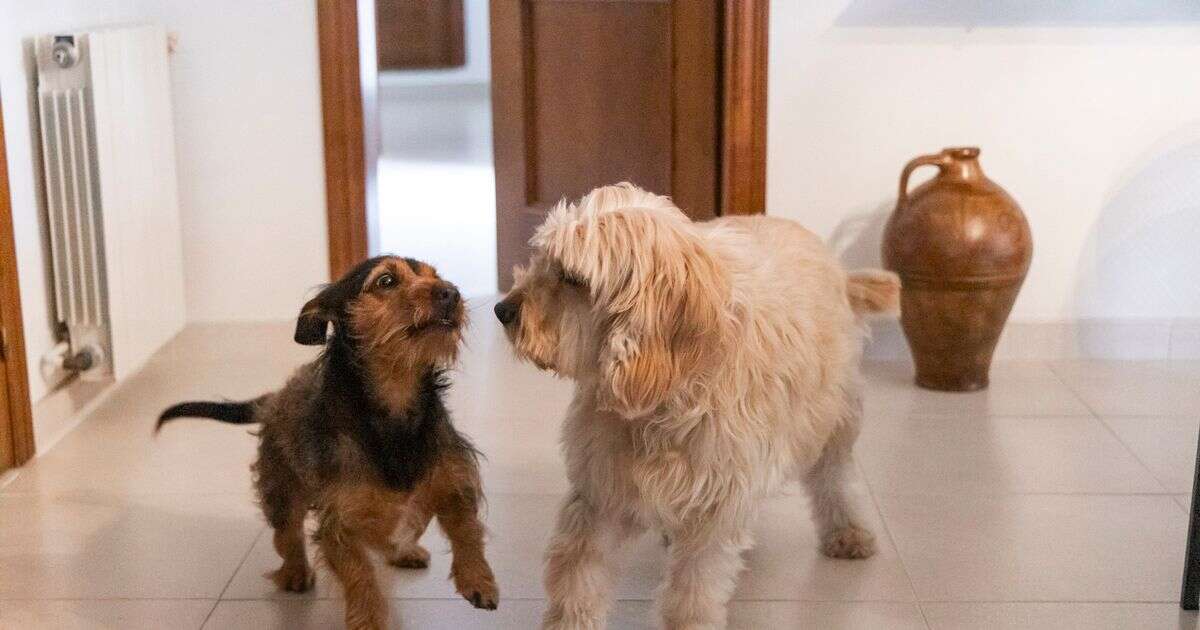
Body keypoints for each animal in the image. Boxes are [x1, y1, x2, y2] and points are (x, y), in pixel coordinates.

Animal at [158, 255, 496, 628]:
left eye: (435, 276)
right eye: (386, 281)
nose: (451, 292)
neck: (394, 405)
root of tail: (275, 398)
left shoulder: (453, 478)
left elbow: (466, 527)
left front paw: (477, 579)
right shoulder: (340, 518)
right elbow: (359, 572)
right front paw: (368, 619)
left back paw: (404, 550)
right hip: (281, 487)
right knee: (286, 533)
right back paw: (294, 571)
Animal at [492, 182, 897, 628]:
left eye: (572, 277)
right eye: (543, 259)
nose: (502, 309)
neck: (664, 395)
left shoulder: (716, 505)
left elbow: (692, 592)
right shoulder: (601, 489)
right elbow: (577, 577)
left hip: (833, 418)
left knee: (835, 478)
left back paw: (847, 529)